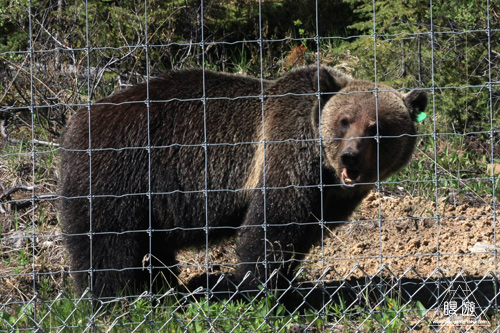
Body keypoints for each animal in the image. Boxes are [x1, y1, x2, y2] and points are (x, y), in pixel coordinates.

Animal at [58, 65, 426, 296]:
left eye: (377, 127)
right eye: (345, 121)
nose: (350, 156)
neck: (324, 171)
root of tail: (75, 121)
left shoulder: (326, 199)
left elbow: (300, 237)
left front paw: (287, 284)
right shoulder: (283, 155)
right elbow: (271, 228)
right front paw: (261, 290)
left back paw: (162, 284)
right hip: (117, 173)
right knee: (106, 244)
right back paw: (114, 296)